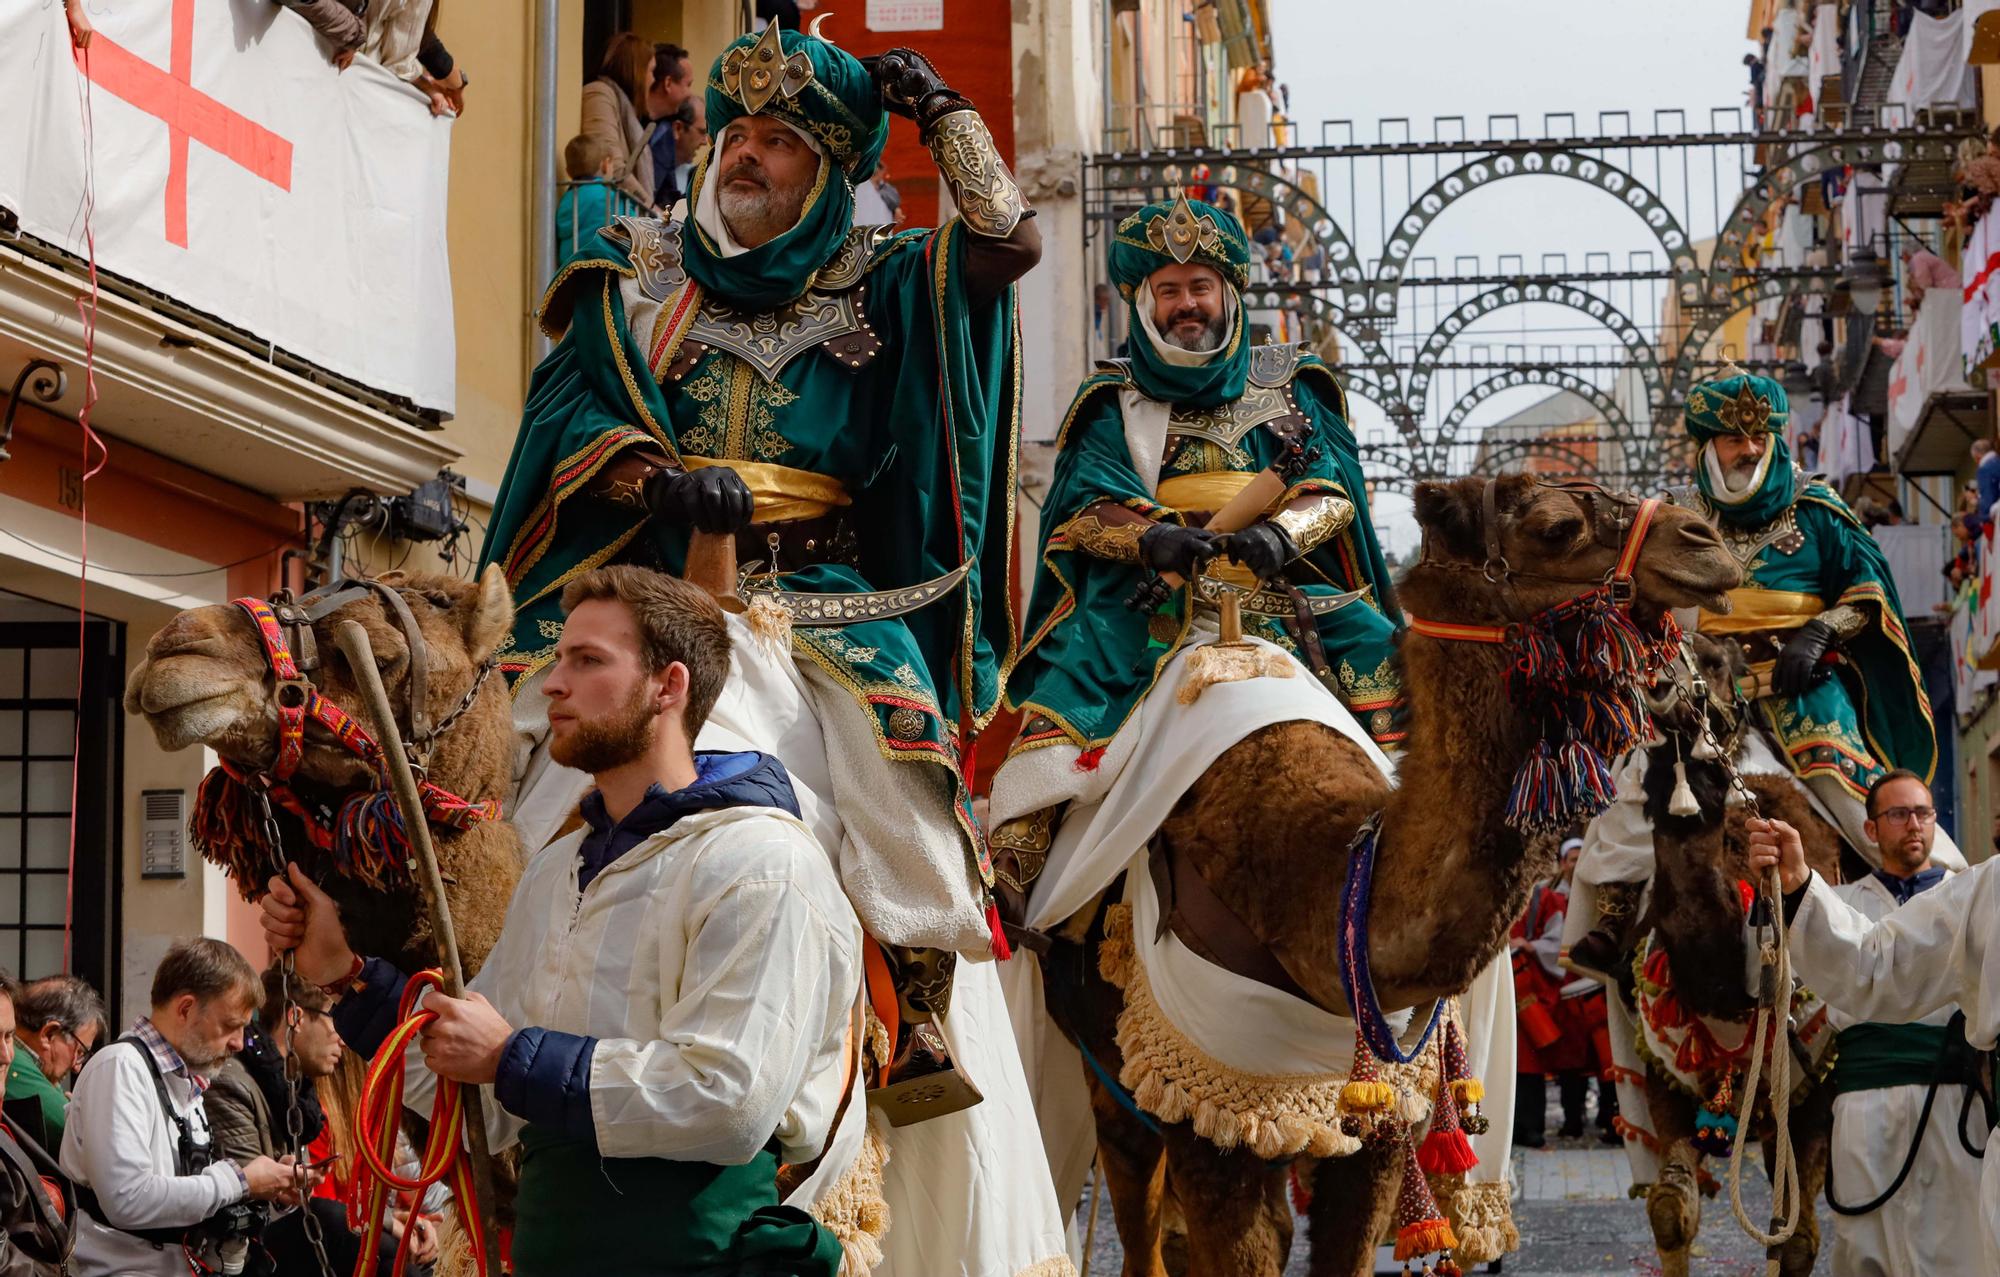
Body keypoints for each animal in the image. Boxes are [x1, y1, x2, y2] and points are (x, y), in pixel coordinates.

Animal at [1040, 480, 1744, 1277]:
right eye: (1557, 527)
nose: (1706, 539)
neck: (1320, 882)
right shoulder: (1205, 1112)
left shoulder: (1373, 1120)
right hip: (1112, 1073)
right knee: (1139, 1209)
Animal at [1624, 636, 1840, 1277]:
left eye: (1715, 661)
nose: (1658, 681)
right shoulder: (1665, 1080)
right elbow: (1671, 1211)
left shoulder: (1815, 1093)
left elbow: (1796, 1240)